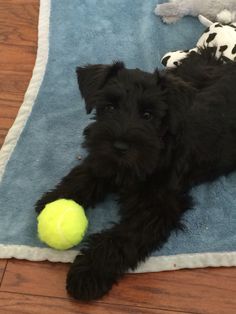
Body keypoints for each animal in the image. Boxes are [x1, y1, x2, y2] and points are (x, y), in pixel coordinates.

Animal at [35, 47, 236, 300]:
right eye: (110, 107)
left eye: (148, 115)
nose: (120, 147)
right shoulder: (105, 159)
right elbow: (86, 174)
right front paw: (54, 199)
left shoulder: (156, 208)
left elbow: (121, 238)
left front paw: (88, 272)